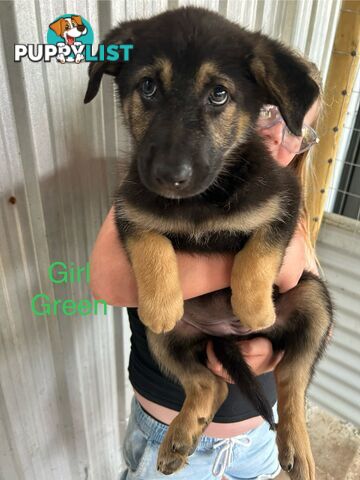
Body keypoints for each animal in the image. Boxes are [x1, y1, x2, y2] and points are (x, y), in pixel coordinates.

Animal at [84, 7, 332, 480]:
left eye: (219, 94)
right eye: (148, 86)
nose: (170, 176)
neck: (201, 201)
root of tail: (224, 338)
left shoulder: (284, 201)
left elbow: (259, 250)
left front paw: (253, 307)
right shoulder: (129, 207)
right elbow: (152, 243)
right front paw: (162, 302)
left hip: (313, 302)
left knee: (291, 383)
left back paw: (297, 446)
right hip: (168, 341)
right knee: (211, 384)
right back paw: (181, 435)